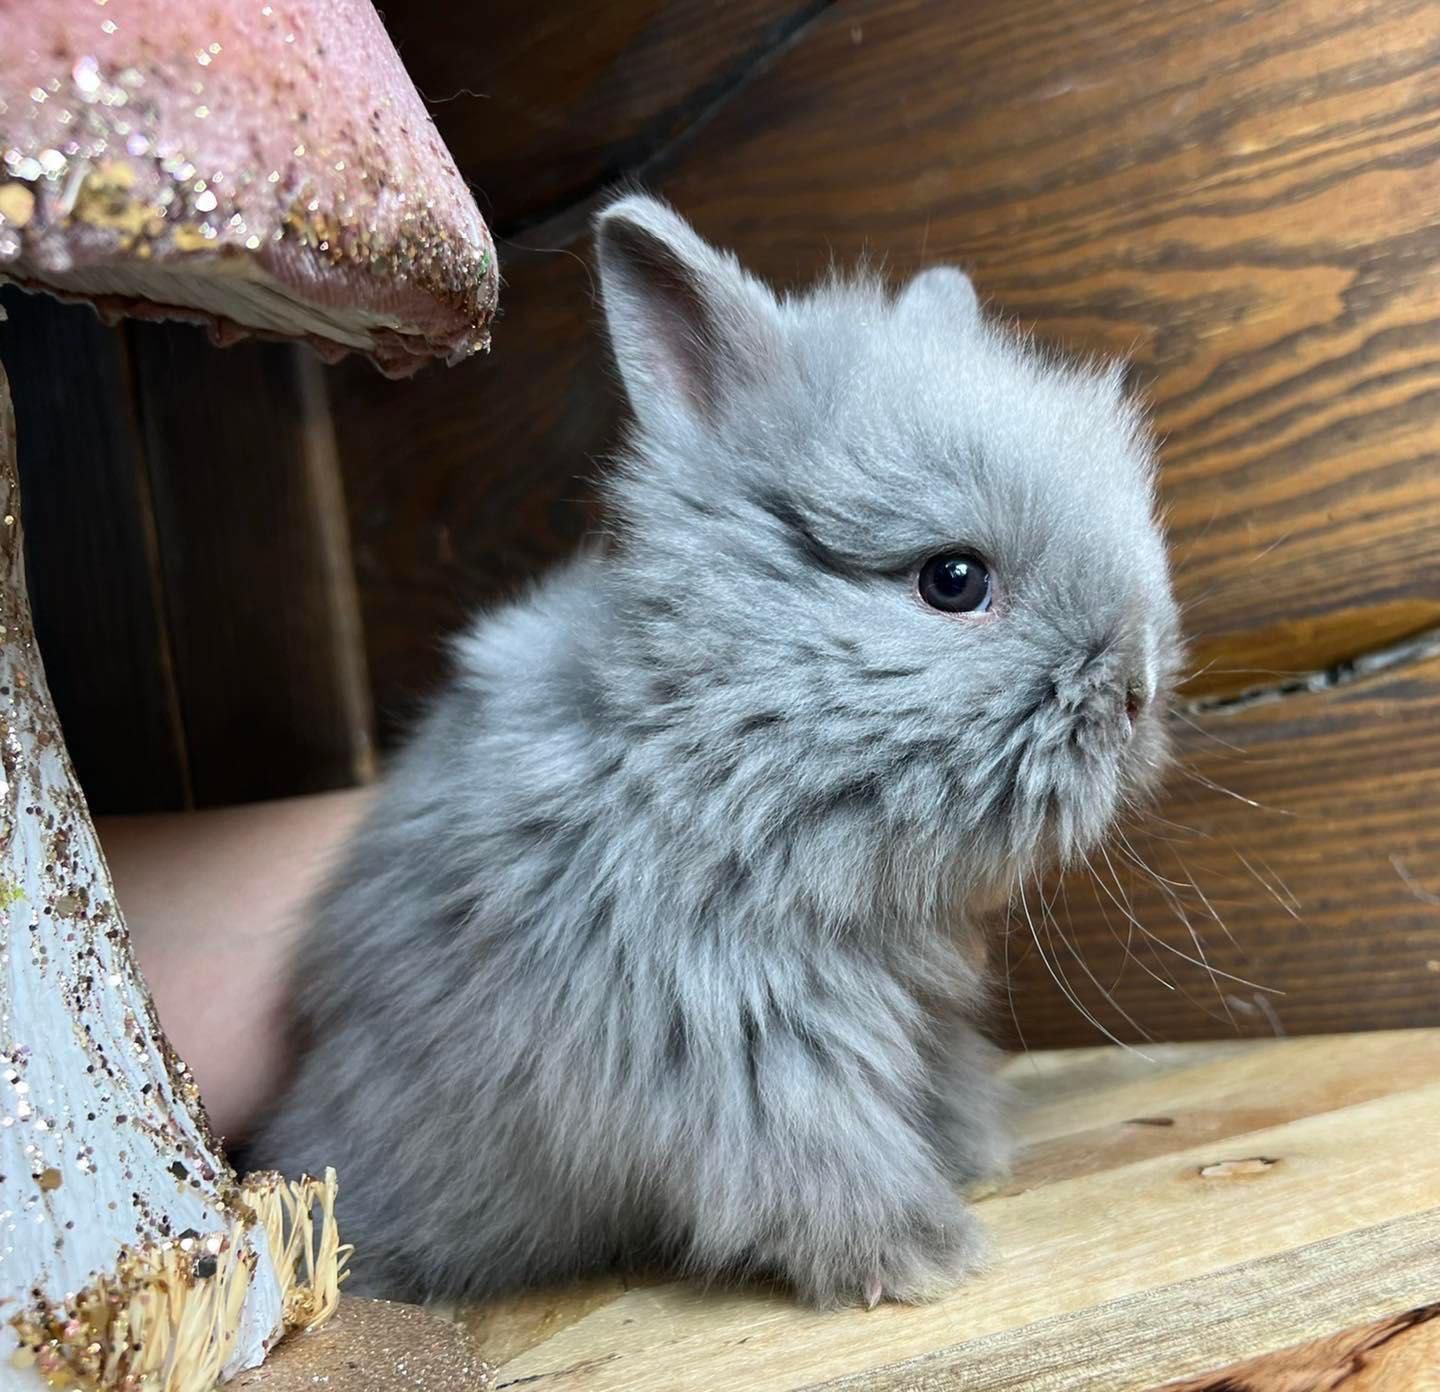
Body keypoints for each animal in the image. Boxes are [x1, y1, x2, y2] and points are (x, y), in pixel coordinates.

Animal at [256, 192, 1180, 1307]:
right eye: (953, 580)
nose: (1136, 691)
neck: (716, 749)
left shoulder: (908, 1014)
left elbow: (938, 1082)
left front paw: (974, 1156)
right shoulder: (737, 1032)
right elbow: (817, 1157)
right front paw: (924, 1258)